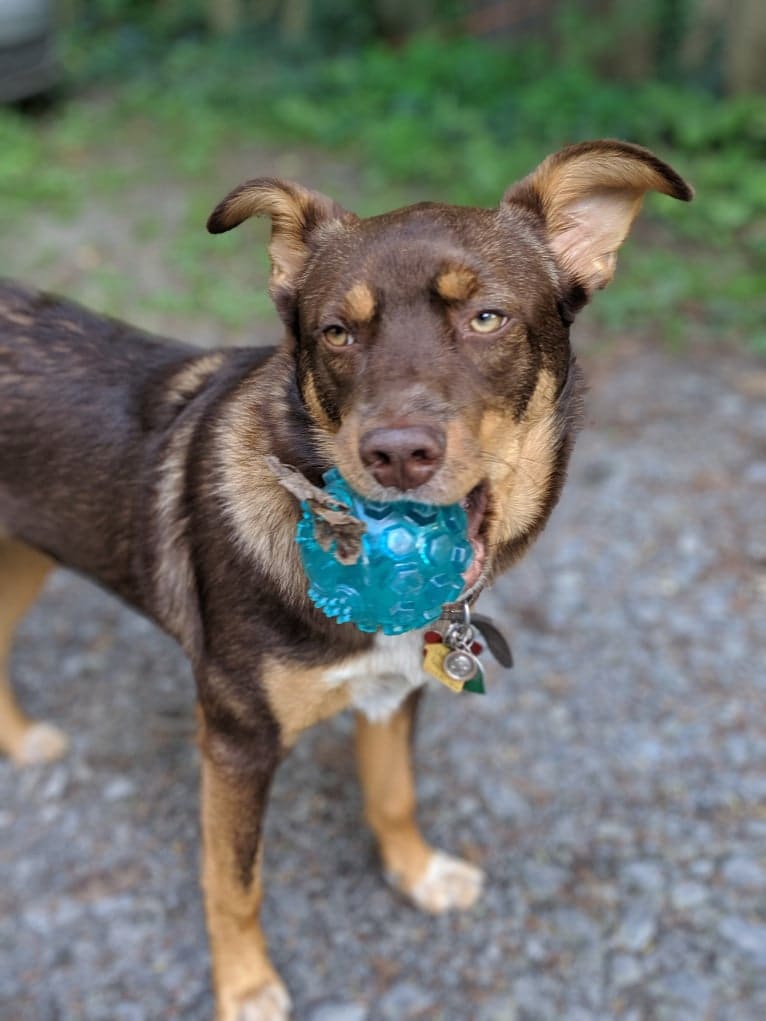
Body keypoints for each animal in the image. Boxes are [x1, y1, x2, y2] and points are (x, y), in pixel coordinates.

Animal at [0, 139, 694, 1016]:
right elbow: (234, 879)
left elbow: (392, 795)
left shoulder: (395, 690)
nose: (397, 453)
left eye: (487, 317)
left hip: (25, 553)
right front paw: (246, 987)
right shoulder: (235, 737)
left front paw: (418, 874)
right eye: (335, 332)